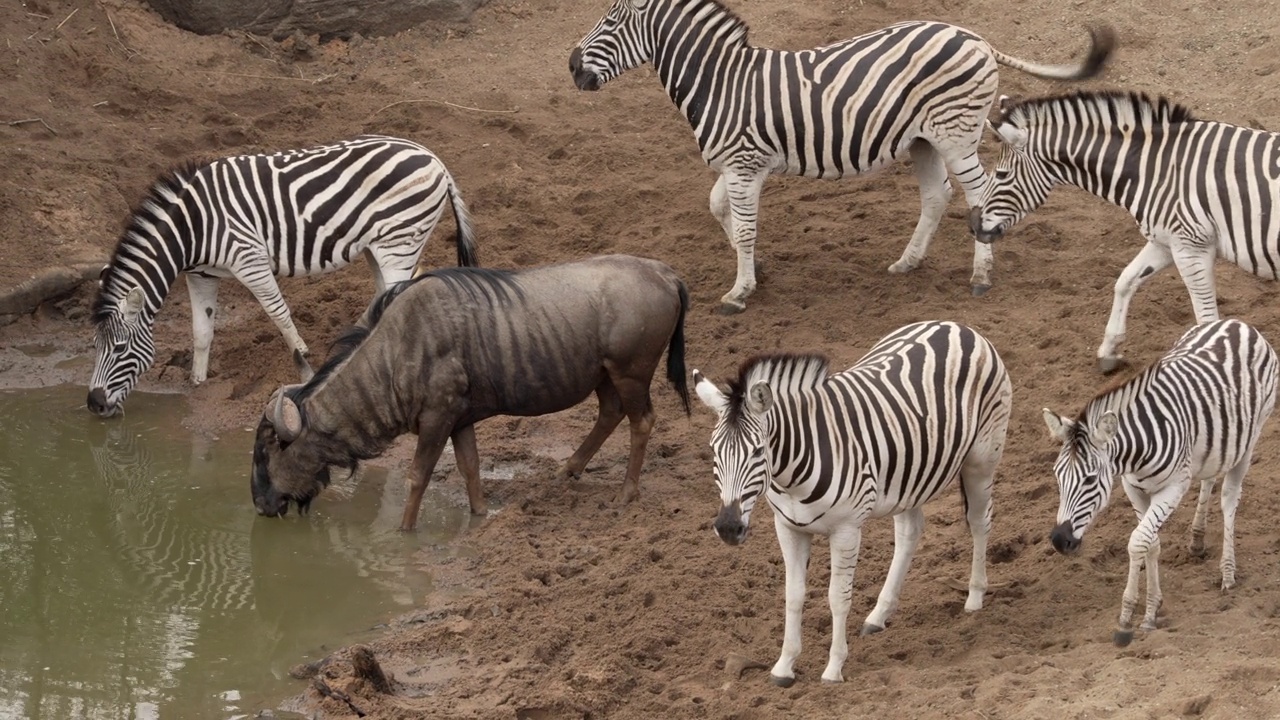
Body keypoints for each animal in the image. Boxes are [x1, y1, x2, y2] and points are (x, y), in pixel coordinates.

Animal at [88, 133, 481, 415]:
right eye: (95, 346)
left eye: (120, 348)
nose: (94, 404)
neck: (192, 227)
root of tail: (433, 158)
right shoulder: (201, 275)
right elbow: (201, 330)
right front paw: (197, 382)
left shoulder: (249, 258)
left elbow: (278, 312)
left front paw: (304, 363)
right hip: (381, 245)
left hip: (398, 240)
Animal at [570, 0, 1111, 313]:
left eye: (612, 21)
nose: (572, 66)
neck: (721, 82)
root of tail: (975, 37)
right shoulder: (736, 165)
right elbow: (721, 210)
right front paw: (756, 271)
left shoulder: (743, 164)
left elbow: (742, 225)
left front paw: (739, 292)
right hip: (924, 139)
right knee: (936, 195)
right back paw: (909, 261)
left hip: (956, 133)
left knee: (978, 194)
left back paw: (981, 275)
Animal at [696, 320, 1013, 681]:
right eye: (713, 450)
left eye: (759, 451)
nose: (728, 527)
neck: (791, 475)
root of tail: (955, 325)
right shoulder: (788, 528)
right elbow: (793, 595)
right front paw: (784, 665)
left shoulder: (846, 530)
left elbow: (838, 597)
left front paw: (834, 668)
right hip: (910, 474)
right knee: (910, 532)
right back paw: (879, 615)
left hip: (982, 459)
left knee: (979, 522)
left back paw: (974, 596)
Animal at [967, 89, 1280, 368]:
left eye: (1001, 174)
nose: (972, 225)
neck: (1156, 168)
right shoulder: (1166, 241)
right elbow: (1125, 280)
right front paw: (1110, 350)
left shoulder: (1192, 246)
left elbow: (1207, 318)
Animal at [1044, 317, 1274, 645]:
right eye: (1057, 475)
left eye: (1090, 479)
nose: (1059, 541)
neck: (1135, 452)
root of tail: (1236, 323)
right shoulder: (1133, 487)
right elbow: (1151, 543)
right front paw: (1152, 610)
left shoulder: (1173, 487)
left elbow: (1138, 541)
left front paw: (1127, 618)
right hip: (1215, 443)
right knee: (1209, 479)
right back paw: (1197, 540)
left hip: (1249, 440)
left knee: (1229, 499)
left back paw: (1228, 573)